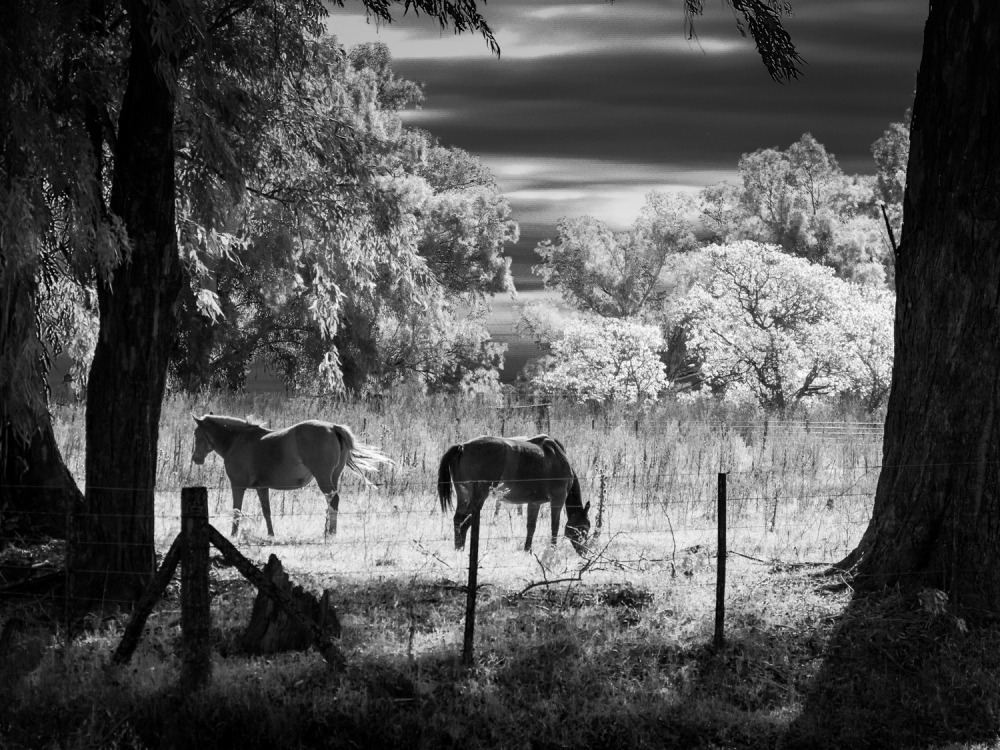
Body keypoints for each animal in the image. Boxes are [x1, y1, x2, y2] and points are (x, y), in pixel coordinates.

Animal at [191, 414, 390, 536]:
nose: (195, 458)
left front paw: (233, 535)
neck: (238, 440)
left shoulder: (237, 486)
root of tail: (333, 427)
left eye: (196, 433)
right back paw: (327, 531)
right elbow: (266, 511)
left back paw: (330, 533)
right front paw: (271, 534)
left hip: (323, 478)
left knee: (332, 500)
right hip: (333, 477)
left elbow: (236, 511)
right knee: (332, 501)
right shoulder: (262, 488)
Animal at [436, 434, 584, 560]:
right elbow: (555, 526)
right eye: (584, 527)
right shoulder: (558, 499)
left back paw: (458, 547)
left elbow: (531, 526)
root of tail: (462, 447)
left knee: (458, 519)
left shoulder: (534, 503)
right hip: (478, 497)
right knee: (465, 522)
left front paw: (527, 549)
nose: (584, 552)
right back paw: (461, 548)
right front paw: (552, 549)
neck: (557, 457)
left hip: (463, 495)